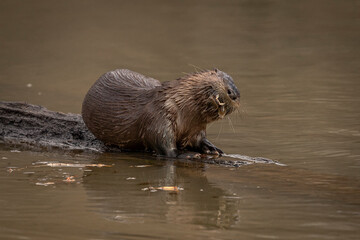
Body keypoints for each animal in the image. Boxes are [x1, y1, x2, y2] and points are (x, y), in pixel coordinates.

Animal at [81, 68, 239, 157]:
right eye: (222, 79)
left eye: (238, 91)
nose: (234, 93)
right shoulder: (158, 117)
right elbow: (166, 148)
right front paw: (186, 155)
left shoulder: (196, 129)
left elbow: (199, 139)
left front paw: (212, 149)